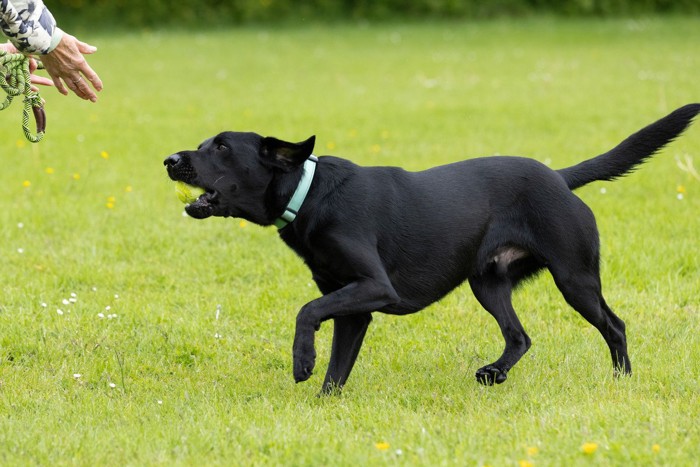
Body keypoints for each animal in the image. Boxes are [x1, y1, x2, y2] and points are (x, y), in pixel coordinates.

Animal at [165, 104, 700, 394]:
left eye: (221, 148)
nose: (170, 159)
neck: (308, 191)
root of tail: (560, 178)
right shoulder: (354, 305)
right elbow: (338, 367)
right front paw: (323, 403)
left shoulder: (372, 287)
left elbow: (307, 312)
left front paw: (302, 362)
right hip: (487, 281)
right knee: (520, 337)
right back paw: (493, 374)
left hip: (575, 277)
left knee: (614, 325)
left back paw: (621, 380)